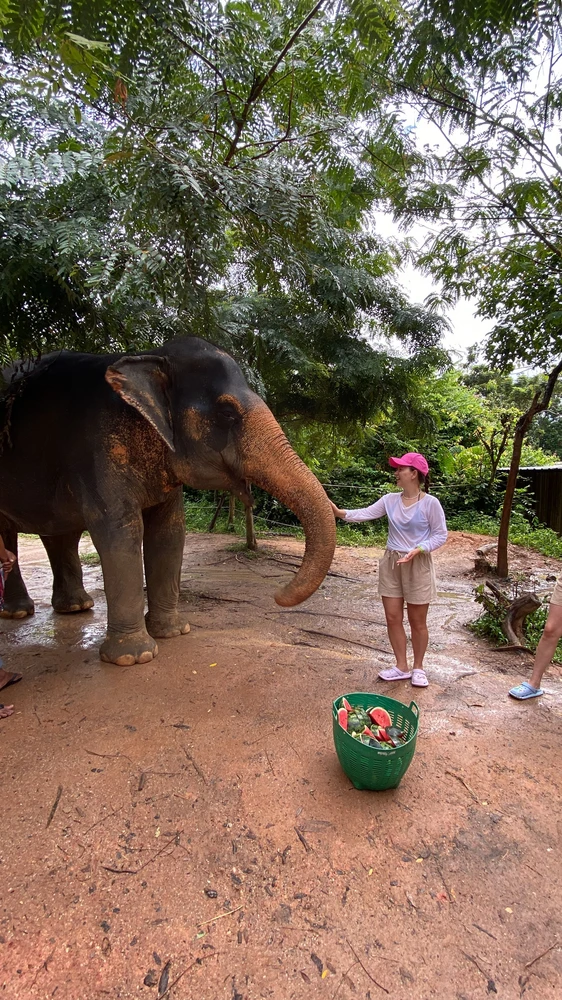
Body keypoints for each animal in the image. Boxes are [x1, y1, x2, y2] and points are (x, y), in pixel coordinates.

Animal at [0, 336, 332, 664]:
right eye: (227, 413)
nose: (277, 595)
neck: (148, 358)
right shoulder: (96, 452)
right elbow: (121, 532)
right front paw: (134, 657)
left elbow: (169, 533)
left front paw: (173, 633)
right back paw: (19, 612)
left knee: (60, 533)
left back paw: (75, 607)